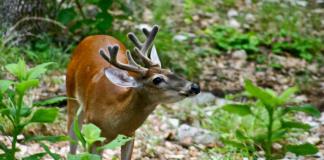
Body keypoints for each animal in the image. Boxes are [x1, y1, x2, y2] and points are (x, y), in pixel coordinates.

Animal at [66, 24, 200, 159]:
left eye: (169, 71)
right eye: (157, 79)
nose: (194, 87)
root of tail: (92, 36)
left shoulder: (130, 135)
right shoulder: (94, 135)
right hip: (71, 94)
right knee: (72, 136)